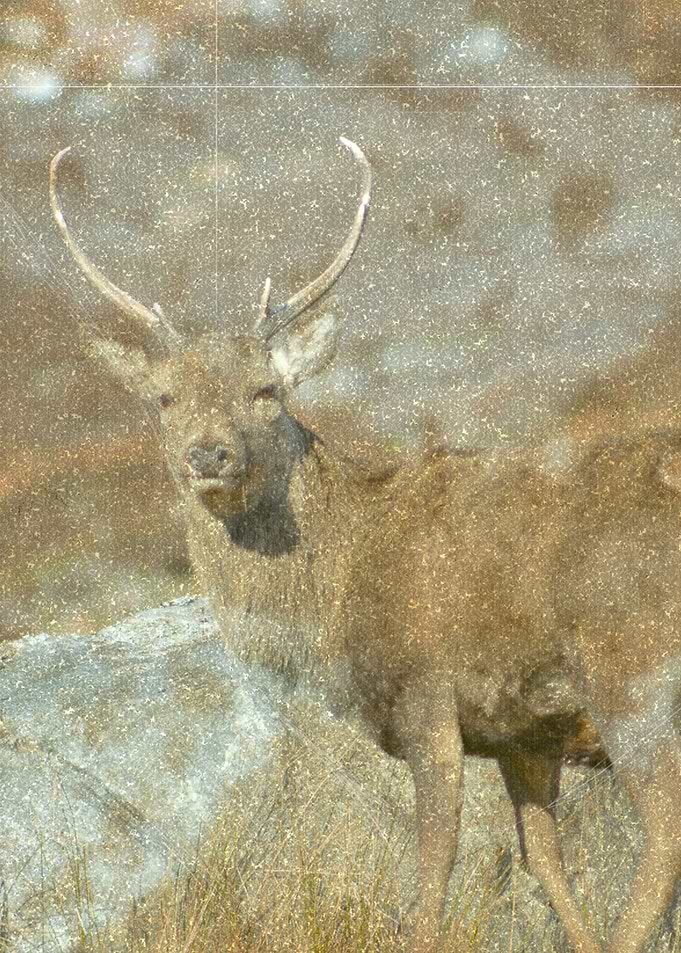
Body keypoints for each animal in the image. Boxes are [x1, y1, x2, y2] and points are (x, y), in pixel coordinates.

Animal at [49, 138, 681, 953]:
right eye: (164, 397)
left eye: (265, 390)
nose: (208, 454)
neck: (337, 595)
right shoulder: (523, 733)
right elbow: (544, 862)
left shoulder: (426, 693)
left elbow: (432, 875)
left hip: (628, 668)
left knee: (663, 833)